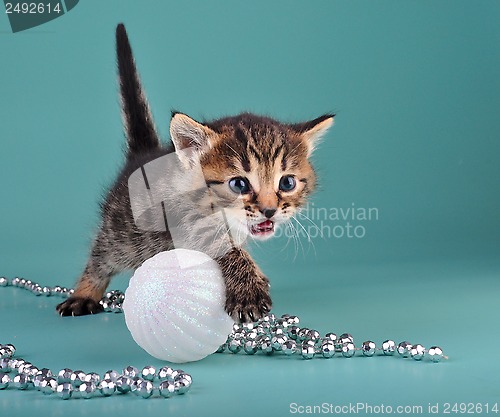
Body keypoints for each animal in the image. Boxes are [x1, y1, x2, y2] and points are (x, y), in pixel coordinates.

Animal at [56, 22, 334, 322]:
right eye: (239, 184)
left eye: (287, 183)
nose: (270, 210)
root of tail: (141, 157)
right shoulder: (183, 221)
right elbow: (222, 247)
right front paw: (248, 293)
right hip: (122, 234)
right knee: (102, 255)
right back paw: (84, 293)